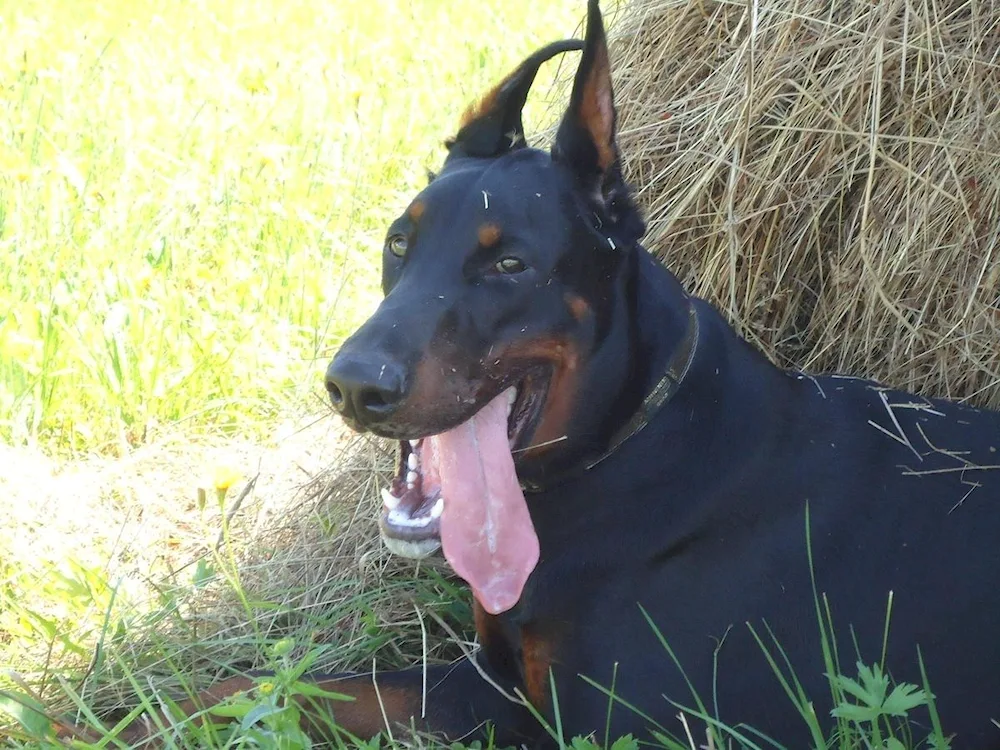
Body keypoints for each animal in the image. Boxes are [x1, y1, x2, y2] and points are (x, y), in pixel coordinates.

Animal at [82, 0, 1000, 748]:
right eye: (399, 241)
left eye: (509, 264)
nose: (353, 386)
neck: (625, 451)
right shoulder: (491, 684)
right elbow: (261, 686)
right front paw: (97, 720)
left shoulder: (623, 726)